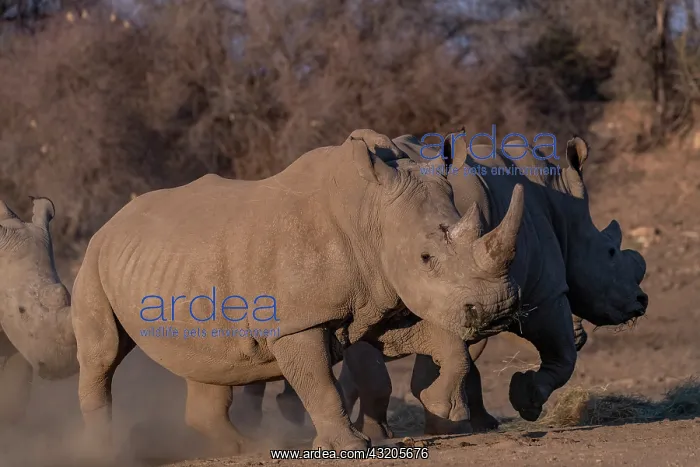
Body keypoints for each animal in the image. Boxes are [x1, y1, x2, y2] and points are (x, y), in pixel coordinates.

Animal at [70, 129, 527, 456]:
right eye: (426, 257)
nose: (497, 309)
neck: (369, 214)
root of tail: (113, 220)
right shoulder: (296, 321)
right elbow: (320, 383)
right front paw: (349, 447)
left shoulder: (380, 298)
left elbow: (448, 347)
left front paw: (440, 406)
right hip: (93, 260)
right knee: (102, 355)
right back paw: (104, 452)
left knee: (210, 361)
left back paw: (245, 448)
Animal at [243, 133, 648, 437]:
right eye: (611, 252)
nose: (641, 301)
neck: (561, 209)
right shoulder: (541, 288)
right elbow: (562, 355)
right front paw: (523, 401)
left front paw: (468, 421)